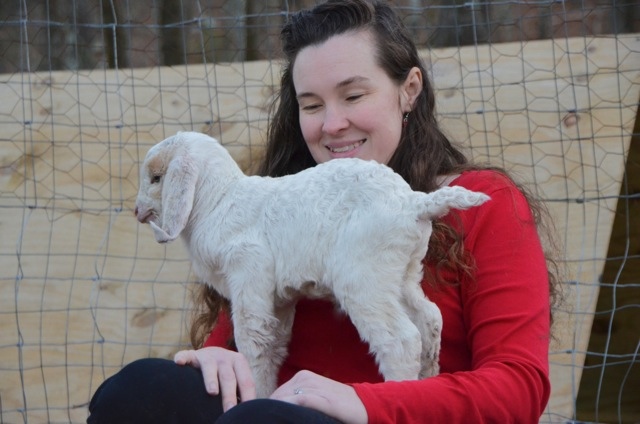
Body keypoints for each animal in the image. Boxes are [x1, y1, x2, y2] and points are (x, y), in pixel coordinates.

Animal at [134, 131, 490, 397]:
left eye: (156, 177)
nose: (137, 211)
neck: (218, 201)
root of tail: (414, 202)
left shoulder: (248, 271)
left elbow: (252, 341)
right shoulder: (278, 299)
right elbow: (273, 345)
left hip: (363, 277)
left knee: (401, 339)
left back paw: (401, 389)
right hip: (402, 273)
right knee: (429, 319)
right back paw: (427, 377)